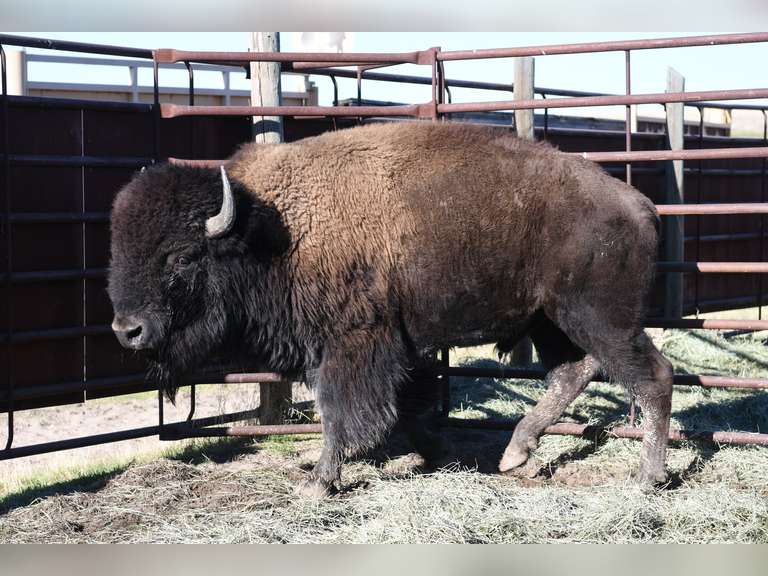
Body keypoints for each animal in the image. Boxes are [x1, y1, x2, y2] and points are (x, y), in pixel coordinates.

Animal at [108, 121, 673, 497]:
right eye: (118, 251)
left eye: (181, 256)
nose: (127, 330)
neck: (270, 227)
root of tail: (639, 205)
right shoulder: (394, 348)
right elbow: (402, 407)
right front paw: (436, 451)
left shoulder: (350, 345)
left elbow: (338, 412)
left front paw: (319, 483)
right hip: (552, 320)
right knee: (572, 372)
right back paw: (518, 455)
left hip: (599, 318)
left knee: (652, 376)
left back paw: (647, 479)